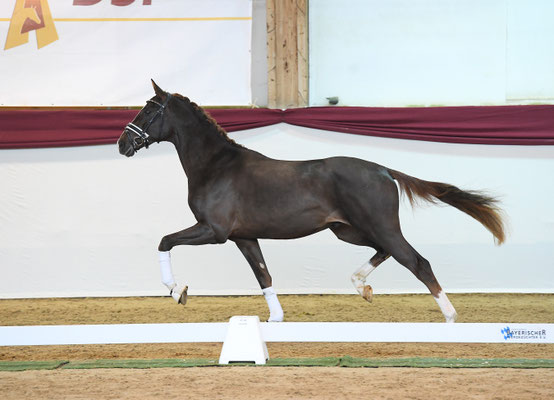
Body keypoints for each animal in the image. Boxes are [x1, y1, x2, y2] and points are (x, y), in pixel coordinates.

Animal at [117, 81, 504, 322]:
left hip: (378, 226)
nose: (122, 144)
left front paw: (177, 291)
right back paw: (362, 287)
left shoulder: (214, 231)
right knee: (386, 252)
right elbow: (263, 275)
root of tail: (383, 170)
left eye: (149, 111)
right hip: (347, 230)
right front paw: (275, 318)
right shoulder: (244, 237)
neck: (216, 166)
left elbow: (165, 241)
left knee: (417, 262)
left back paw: (450, 316)